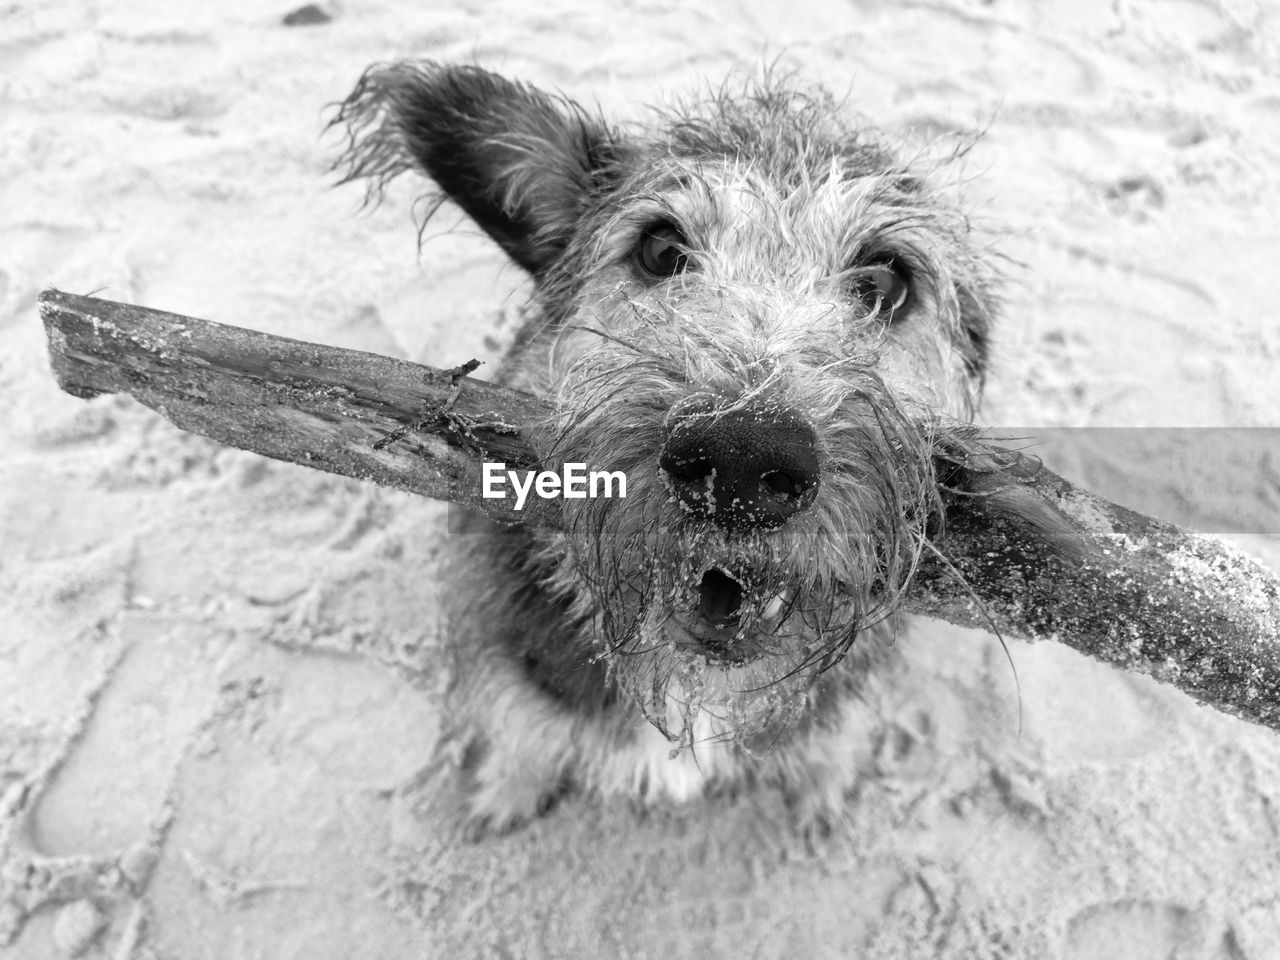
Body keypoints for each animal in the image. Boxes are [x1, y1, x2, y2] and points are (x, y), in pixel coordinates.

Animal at [330, 62, 998, 834]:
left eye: (887, 279)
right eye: (660, 249)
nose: (740, 458)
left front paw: (823, 798)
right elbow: (522, 736)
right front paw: (503, 794)